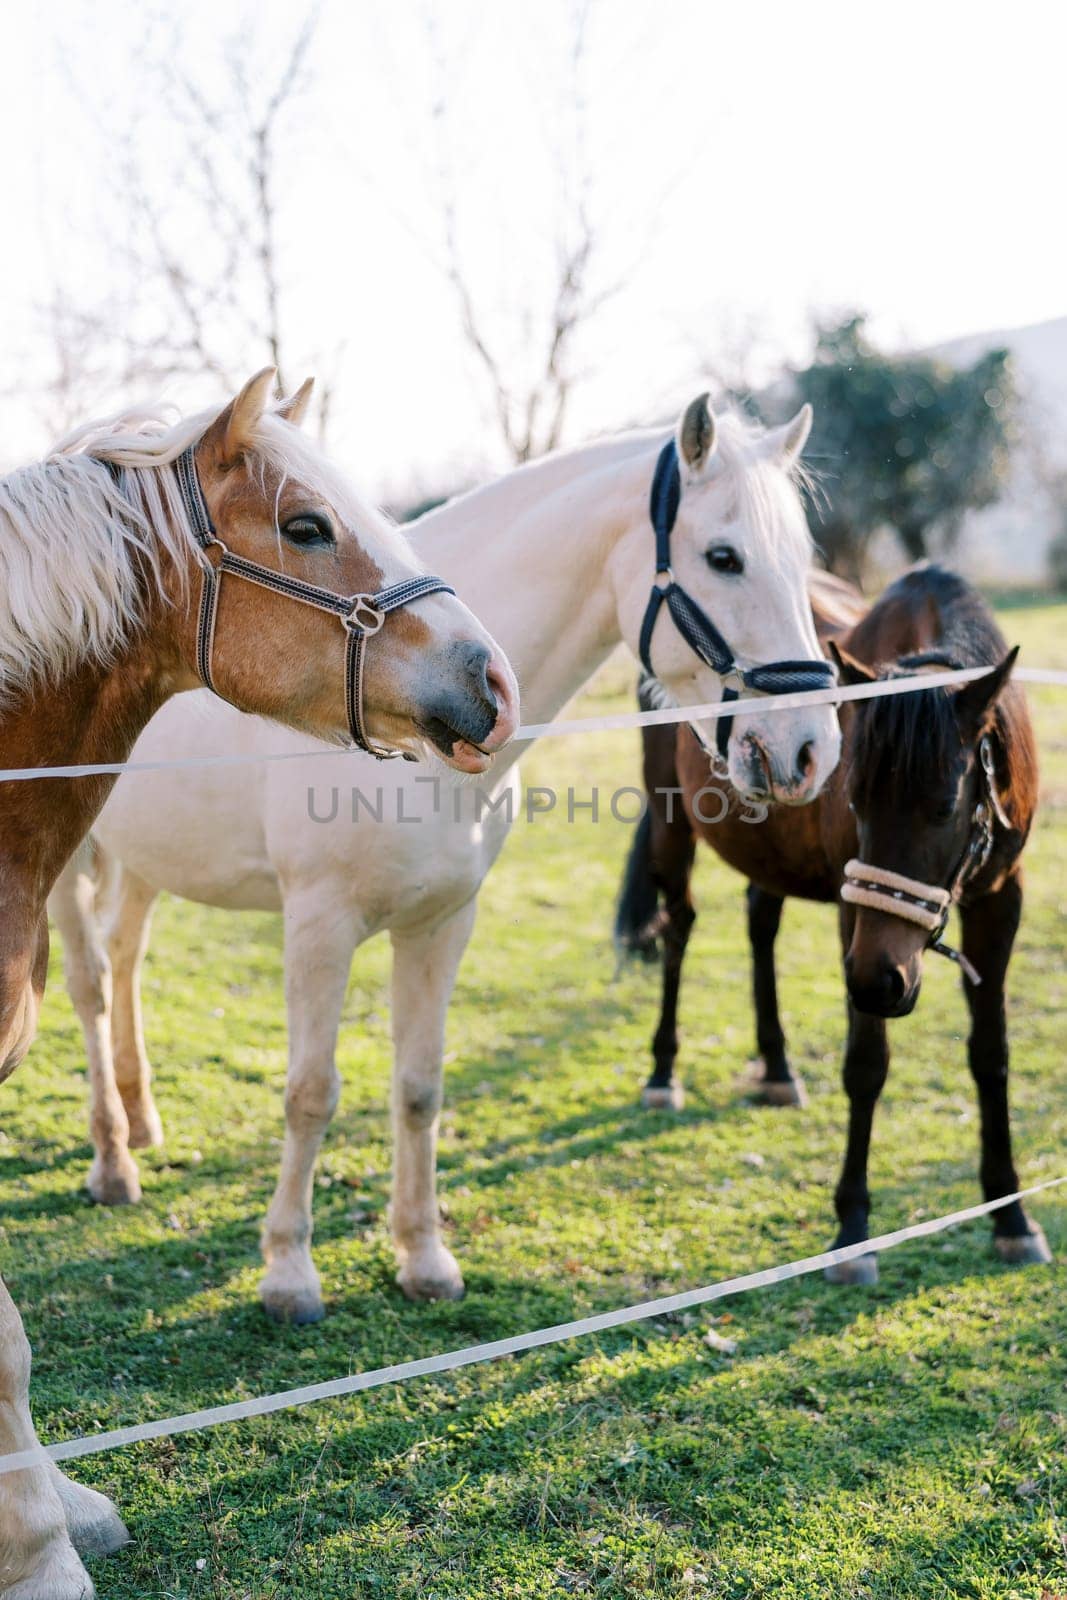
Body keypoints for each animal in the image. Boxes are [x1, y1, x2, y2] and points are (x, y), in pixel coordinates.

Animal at [51, 390, 844, 1324]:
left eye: (802, 562)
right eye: (723, 557)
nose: (807, 750)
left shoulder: (440, 924)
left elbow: (419, 1088)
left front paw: (423, 1257)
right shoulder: (318, 926)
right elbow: (310, 1092)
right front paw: (289, 1272)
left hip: (144, 862)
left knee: (126, 958)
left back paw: (143, 1121)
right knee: (93, 986)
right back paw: (113, 1161)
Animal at [617, 569, 1049, 1280]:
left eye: (944, 806)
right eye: (857, 799)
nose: (883, 982)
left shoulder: (999, 901)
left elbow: (992, 1055)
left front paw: (1010, 1215)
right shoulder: (857, 914)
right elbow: (866, 1064)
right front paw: (853, 1227)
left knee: (759, 924)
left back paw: (776, 1068)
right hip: (669, 822)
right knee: (677, 928)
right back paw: (663, 1073)